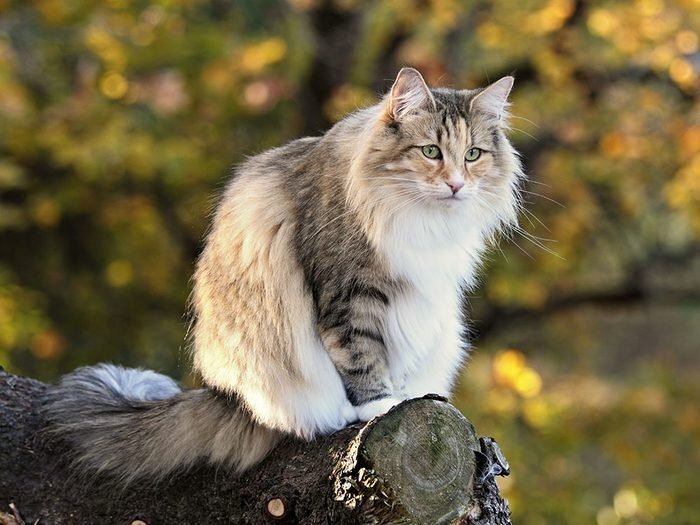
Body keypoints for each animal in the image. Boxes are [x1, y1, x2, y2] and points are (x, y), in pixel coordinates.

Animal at [43, 68, 524, 484]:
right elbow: (362, 355)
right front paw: (382, 404)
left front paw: (408, 394)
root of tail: (225, 395)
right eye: (430, 152)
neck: (420, 219)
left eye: (473, 155)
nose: (456, 185)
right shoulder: (348, 292)